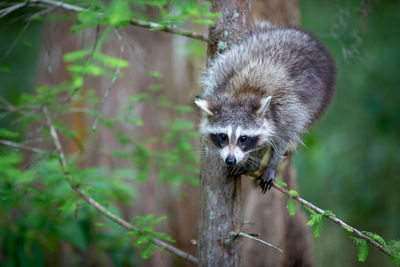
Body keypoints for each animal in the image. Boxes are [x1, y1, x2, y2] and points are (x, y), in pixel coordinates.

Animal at [194, 22, 334, 193]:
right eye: (222, 136)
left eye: (243, 138)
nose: (231, 160)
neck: (241, 94)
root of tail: (299, 33)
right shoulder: (218, 80)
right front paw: (248, 162)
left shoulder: (288, 109)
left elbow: (282, 139)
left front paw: (269, 166)